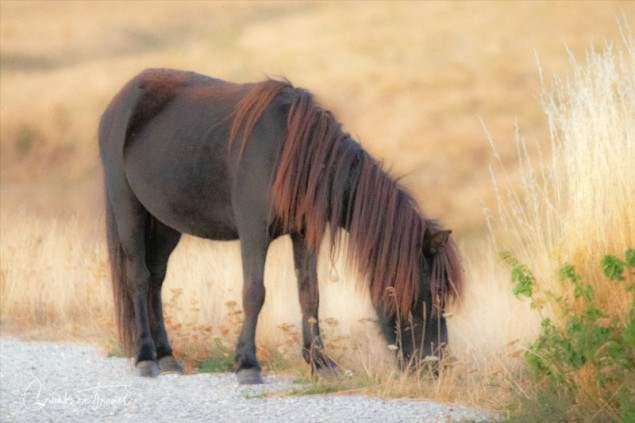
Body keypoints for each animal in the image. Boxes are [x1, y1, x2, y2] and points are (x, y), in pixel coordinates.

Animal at [100, 68, 468, 384]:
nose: (435, 367)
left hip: (165, 223)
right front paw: (247, 365)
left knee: (156, 280)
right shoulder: (254, 232)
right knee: (139, 278)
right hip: (128, 209)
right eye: (435, 292)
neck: (292, 153)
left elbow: (310, 294)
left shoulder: (304, 235)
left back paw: (166, 356)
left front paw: (320, 362)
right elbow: (254, 292)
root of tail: (119, 102)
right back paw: (146, 358)